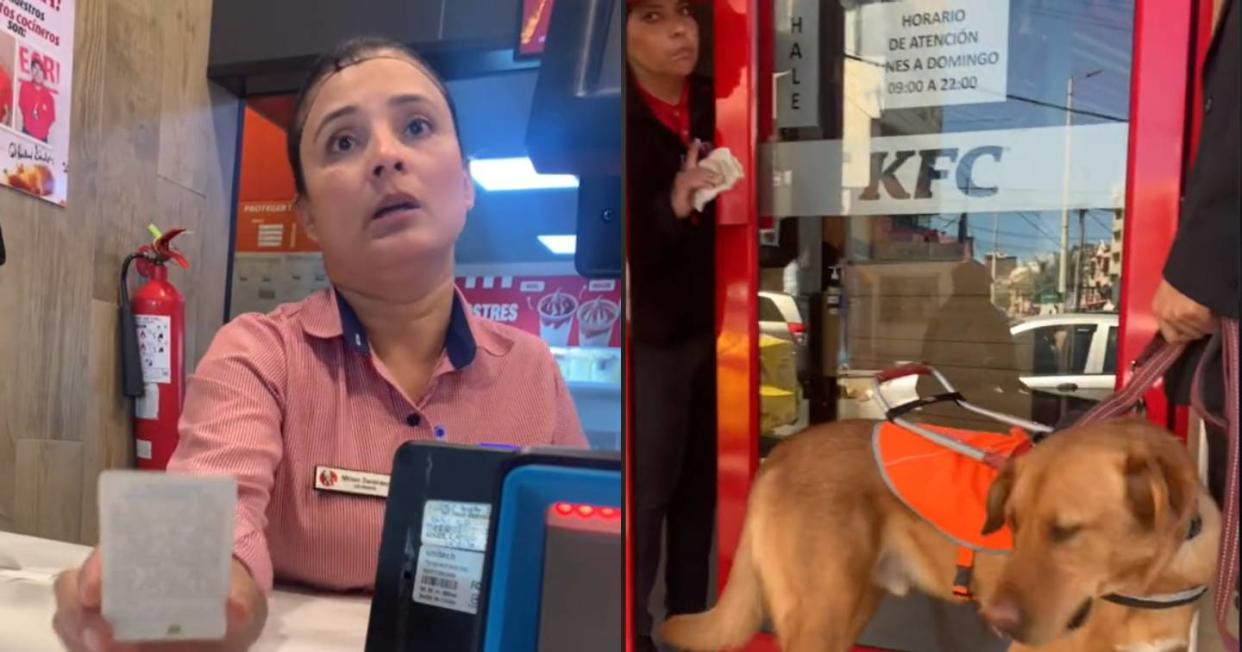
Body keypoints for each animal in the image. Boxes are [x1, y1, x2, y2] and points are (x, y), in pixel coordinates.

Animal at [660, 417, 1222, 650]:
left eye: (1066, 531)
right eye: (1013, 525)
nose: (994, 620)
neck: (1148, 582)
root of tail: (781, 451)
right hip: (819, 619)